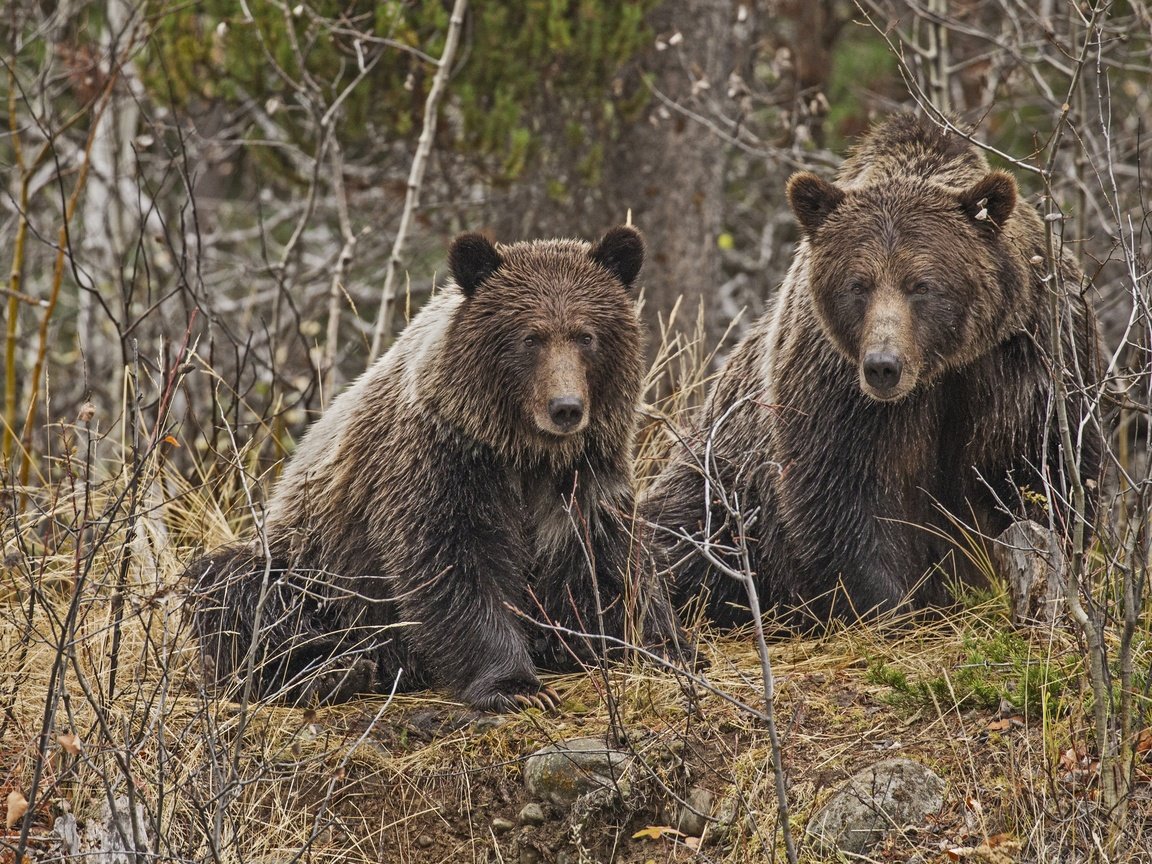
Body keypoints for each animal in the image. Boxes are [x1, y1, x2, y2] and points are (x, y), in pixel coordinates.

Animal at [188, 226, 681, 714]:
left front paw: (656, 643)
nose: (566, 408)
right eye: (530, 338)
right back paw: (327, 672)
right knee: (235, 588)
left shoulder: (583, 474)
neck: (523, 451)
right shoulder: (442, 463)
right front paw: (517, 686)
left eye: (586, 336)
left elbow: (605, 560)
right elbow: (455, 565)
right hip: (314, 570)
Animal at [645, 115, 1101, 631]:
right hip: (720, 480)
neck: (939, 369)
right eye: (857, 285)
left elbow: (1045, 471)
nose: (883, 366)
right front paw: (891, 608)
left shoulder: (1027, 356)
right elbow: (846, 495)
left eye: (922, 284)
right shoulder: (835, 383)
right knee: (679, 536)